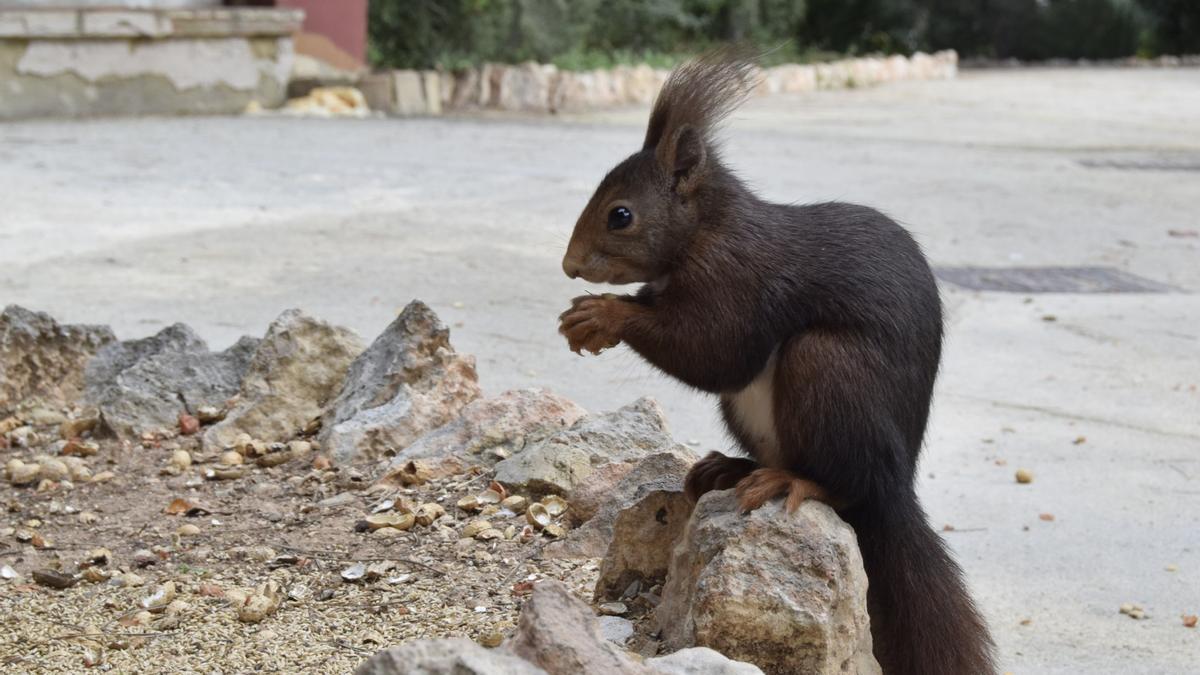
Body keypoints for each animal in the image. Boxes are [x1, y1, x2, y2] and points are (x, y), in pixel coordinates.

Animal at [556, 48, 998, 672]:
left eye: (621, 215)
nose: (570, 266)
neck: (706, 230)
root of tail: (897, 484)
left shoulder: (740, 281)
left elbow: (714, 349)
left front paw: (603, 315)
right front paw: (584, 317)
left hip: (826, 370)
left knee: (847, 484)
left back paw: (793, 482)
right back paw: (729, 470)